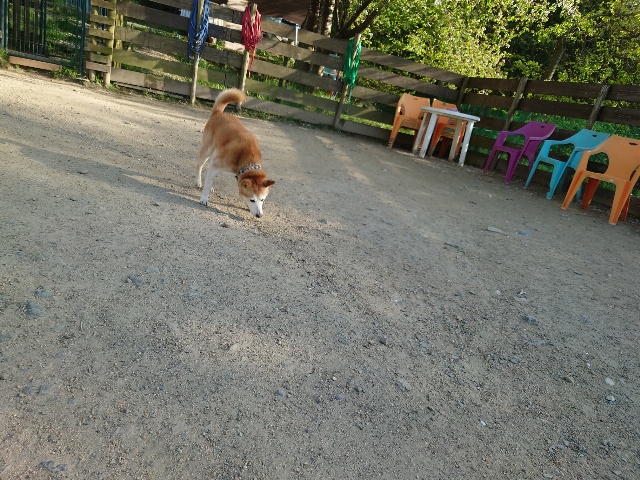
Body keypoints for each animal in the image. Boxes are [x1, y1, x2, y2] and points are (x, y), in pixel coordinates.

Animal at [195, 88, 275, 218]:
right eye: (252, 200)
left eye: (262, 199)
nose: (259, 215)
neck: (246, 157)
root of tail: (218, 113)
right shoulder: (216, 164)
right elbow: (207, 183)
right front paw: (204, 198)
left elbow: (210, 178)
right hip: (207, 149)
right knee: (200, 165)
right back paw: (198, 182)